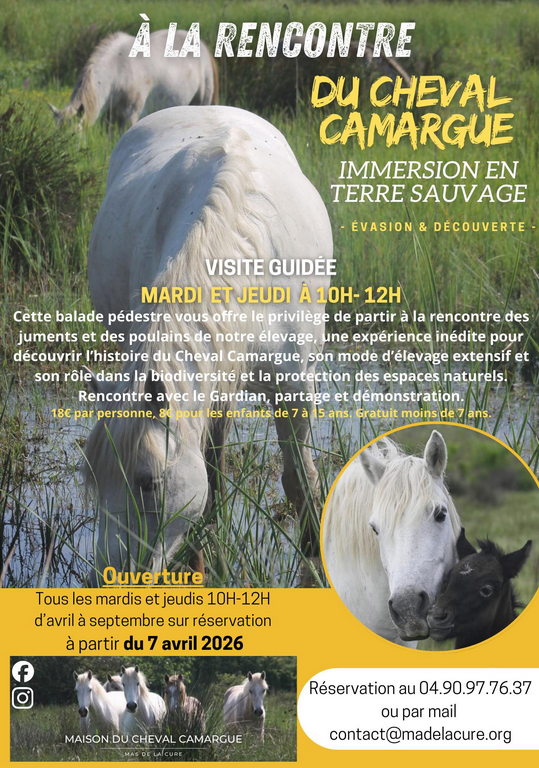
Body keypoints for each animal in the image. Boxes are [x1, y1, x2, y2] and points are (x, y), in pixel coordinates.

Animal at [82, 105, 333, 579]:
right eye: (93, 480)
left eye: (148, 483)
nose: (105, 581)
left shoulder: (296, 385)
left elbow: (300, 478)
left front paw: (312, 549)